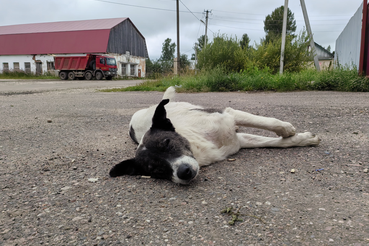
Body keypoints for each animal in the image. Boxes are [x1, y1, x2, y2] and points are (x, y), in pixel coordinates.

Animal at [109, 86, 320, 184]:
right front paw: (301, 139)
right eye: (155, 170)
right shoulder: (239, 142)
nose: (184, 173)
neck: (200, 144)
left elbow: (268, 122)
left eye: (167, 142)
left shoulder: (228, 115)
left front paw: (289, 130)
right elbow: (275, 143)